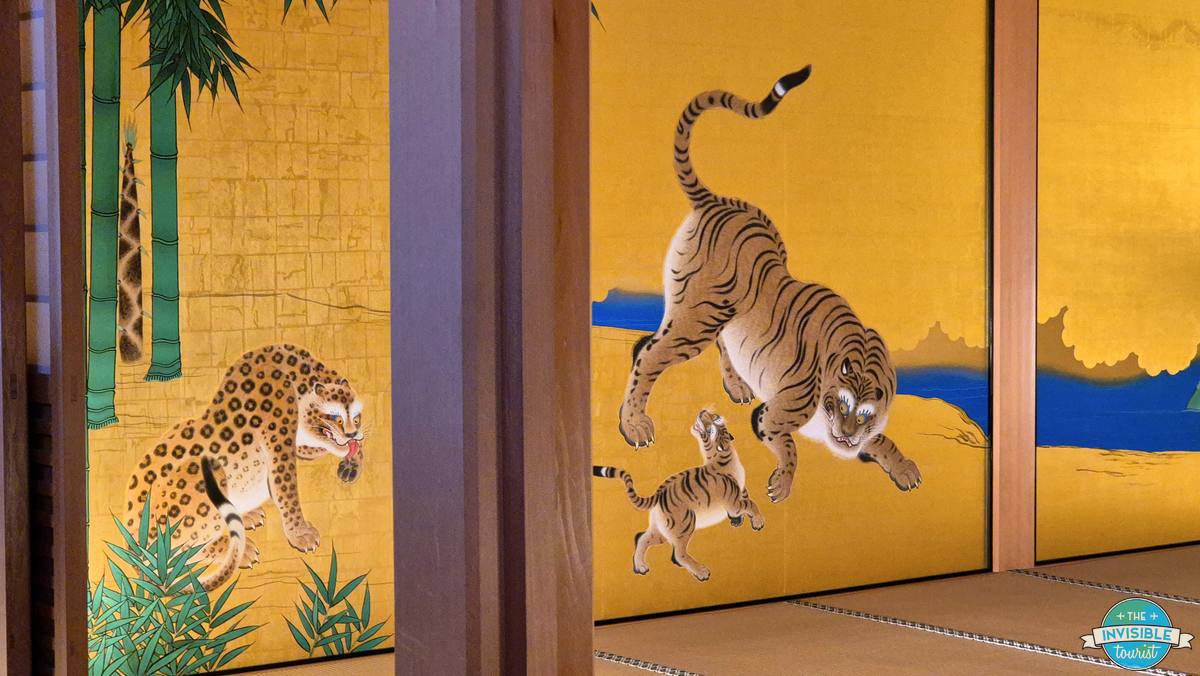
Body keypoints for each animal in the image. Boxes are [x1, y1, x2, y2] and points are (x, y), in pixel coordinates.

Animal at [594, 409, 764, 582]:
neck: (726, 455)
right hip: (685, 523)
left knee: (642, 539)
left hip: (661, 531)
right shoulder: (733, 503)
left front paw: (741, 521)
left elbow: (747, 502)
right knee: (678, 554)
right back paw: (701, 571)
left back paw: (640, 566)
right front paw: (758, 521)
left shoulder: (739, 495)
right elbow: (751, 504)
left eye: (715, 420)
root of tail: (660, 493)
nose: (703, 411)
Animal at [617, 65, 922, 504]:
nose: (847, 437)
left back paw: (737, 385)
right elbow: (791, 446)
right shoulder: (775, 415)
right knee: (647, 354)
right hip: (697, 318)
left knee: (714, 343)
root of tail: (717, 200)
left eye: (864, 414)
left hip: (722, 311)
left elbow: (883, 441)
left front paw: (904, 469)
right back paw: (635, 425)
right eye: (839, 405)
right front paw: (782, 484)